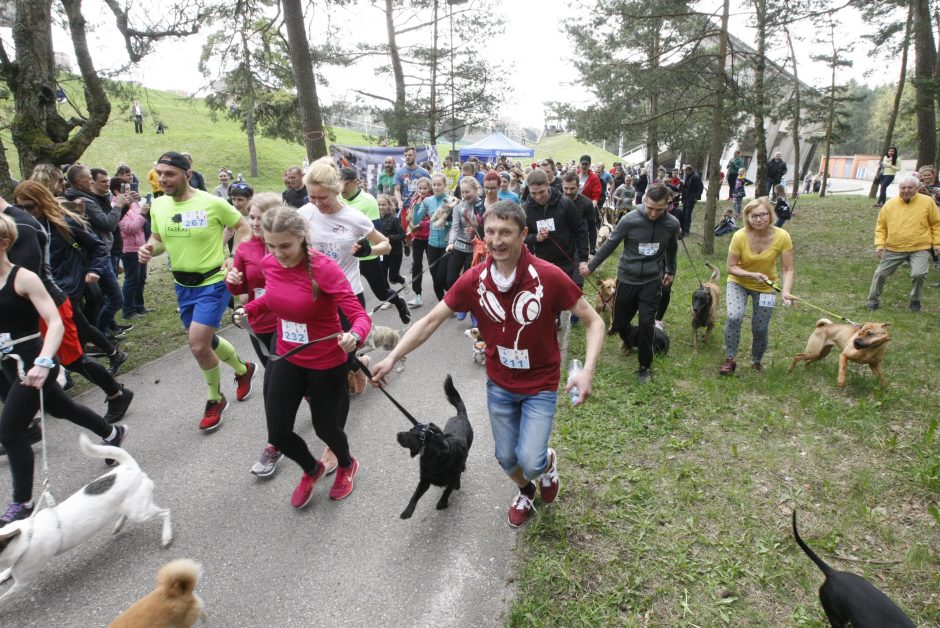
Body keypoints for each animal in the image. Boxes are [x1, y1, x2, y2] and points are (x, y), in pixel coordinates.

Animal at [0, 432, 170, 604]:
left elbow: (3, 597)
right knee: (126, 514)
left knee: (166, 512)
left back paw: (166, 536)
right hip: (132, 507)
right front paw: (3, 574)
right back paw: (118, 526)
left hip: (141, 513)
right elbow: (8, 571)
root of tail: (130, 466)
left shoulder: (22, 582)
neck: (27, 535)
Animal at [396, 376, 474, 516]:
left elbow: (447, 489)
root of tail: (460, 415)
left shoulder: (451, 477)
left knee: (462, 467)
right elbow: (415, 495)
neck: (434, 461)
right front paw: (408, 511)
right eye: (410, 430)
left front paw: (442, 501)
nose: (398, 434)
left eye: (413, 435)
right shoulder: (424, 480)